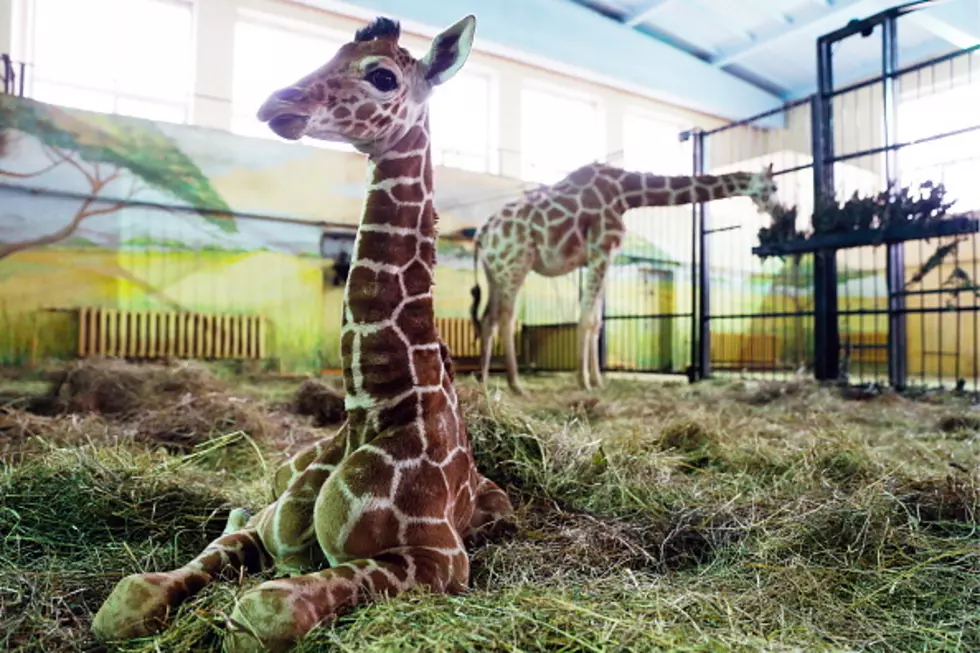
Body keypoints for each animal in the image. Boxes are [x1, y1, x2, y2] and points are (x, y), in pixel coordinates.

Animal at [90, 15, 512, 652]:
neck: (372, 405)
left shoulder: (440, 559)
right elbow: (131, 598)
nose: (276, 104)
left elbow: (265, 610)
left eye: (382, 75)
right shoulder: (266, 530)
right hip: (279, 469)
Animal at [470, 163, 776, 398]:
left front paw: (598, 381)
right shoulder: (601, 250)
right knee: (506, 318)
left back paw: (483, 382)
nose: (777, 211)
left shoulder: (605, 256)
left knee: (488, 319)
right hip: (515, 264)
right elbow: (587, 319)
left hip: (495, 271)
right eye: (773, 188)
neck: (626, 192)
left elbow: (597, 322)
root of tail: (483, 233)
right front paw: (584, 382)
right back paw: (517, 386)